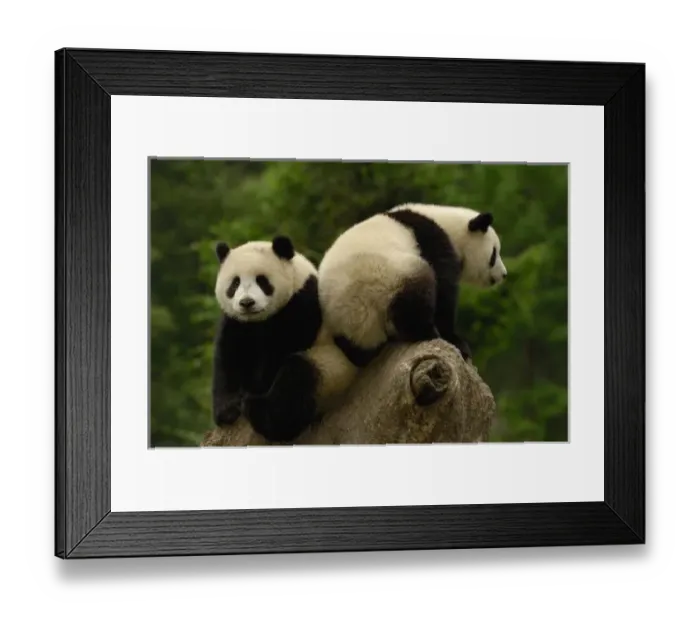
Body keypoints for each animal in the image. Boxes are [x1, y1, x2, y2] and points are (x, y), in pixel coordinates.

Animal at [212, 235, 357, 443]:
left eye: (262, 281)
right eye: (235, 283)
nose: (247, 303)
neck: (259, 321)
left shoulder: (302, 305)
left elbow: (282, 350)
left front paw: (255, 388)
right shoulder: (237, 322)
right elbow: (229, 358)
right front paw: (227, 410)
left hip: (332, 370)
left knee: (296, 380)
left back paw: (259, 412)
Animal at [317, 202, 508, 367]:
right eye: (494, 254)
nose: (503, 274)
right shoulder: (432, 241)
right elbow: (445, 288)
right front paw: (456, 340)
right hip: (387, 278)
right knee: (415, 298)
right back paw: (428, 332)